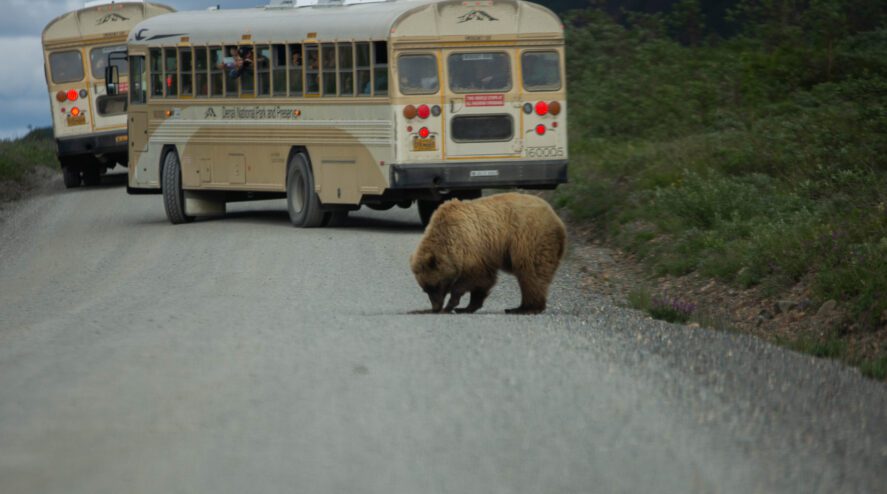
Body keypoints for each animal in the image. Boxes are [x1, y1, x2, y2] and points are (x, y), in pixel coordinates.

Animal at [410, 192, 566, 314]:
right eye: (425, 289)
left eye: (434, 285)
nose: (435, 307)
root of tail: (558, 220)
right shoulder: (482, 255)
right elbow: (483, 282)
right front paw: (466, 307)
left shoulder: (473, 248)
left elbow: (474, 277)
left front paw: (452, 305)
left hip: (530, 239)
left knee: (531, 272)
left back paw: (525, 308)